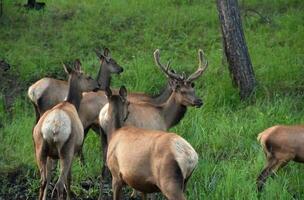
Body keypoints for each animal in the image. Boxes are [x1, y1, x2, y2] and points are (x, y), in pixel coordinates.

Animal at [33, 60, 100, 199]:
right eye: (88, 76)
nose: (98, 85)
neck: (71, 103)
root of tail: (53, 128)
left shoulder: (51, 156)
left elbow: (49, 178)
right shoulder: (74, 151)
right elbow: (69, 179)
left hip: (40, 148)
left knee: (43, 180)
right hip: (66, 150)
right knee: (60, 184)